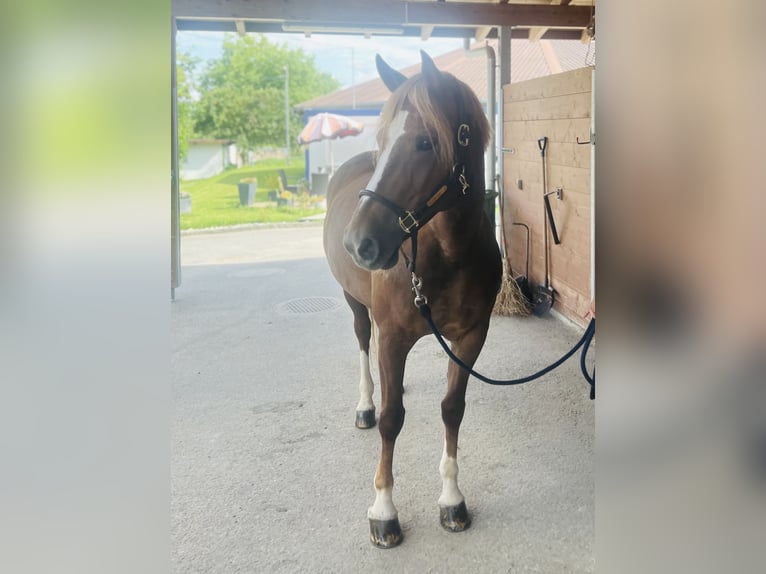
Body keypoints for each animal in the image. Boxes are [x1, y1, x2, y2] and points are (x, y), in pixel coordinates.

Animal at [324, 51, 504, 552]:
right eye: (383, 139)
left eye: (425, 142)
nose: (359, 243)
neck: (448, 255)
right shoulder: (394, 335)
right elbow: (391, 421)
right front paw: (384, 512)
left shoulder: (470, 337)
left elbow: (452, 408)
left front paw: (452, 500)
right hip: (354, 303)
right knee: (363, 344)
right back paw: (366, 403)